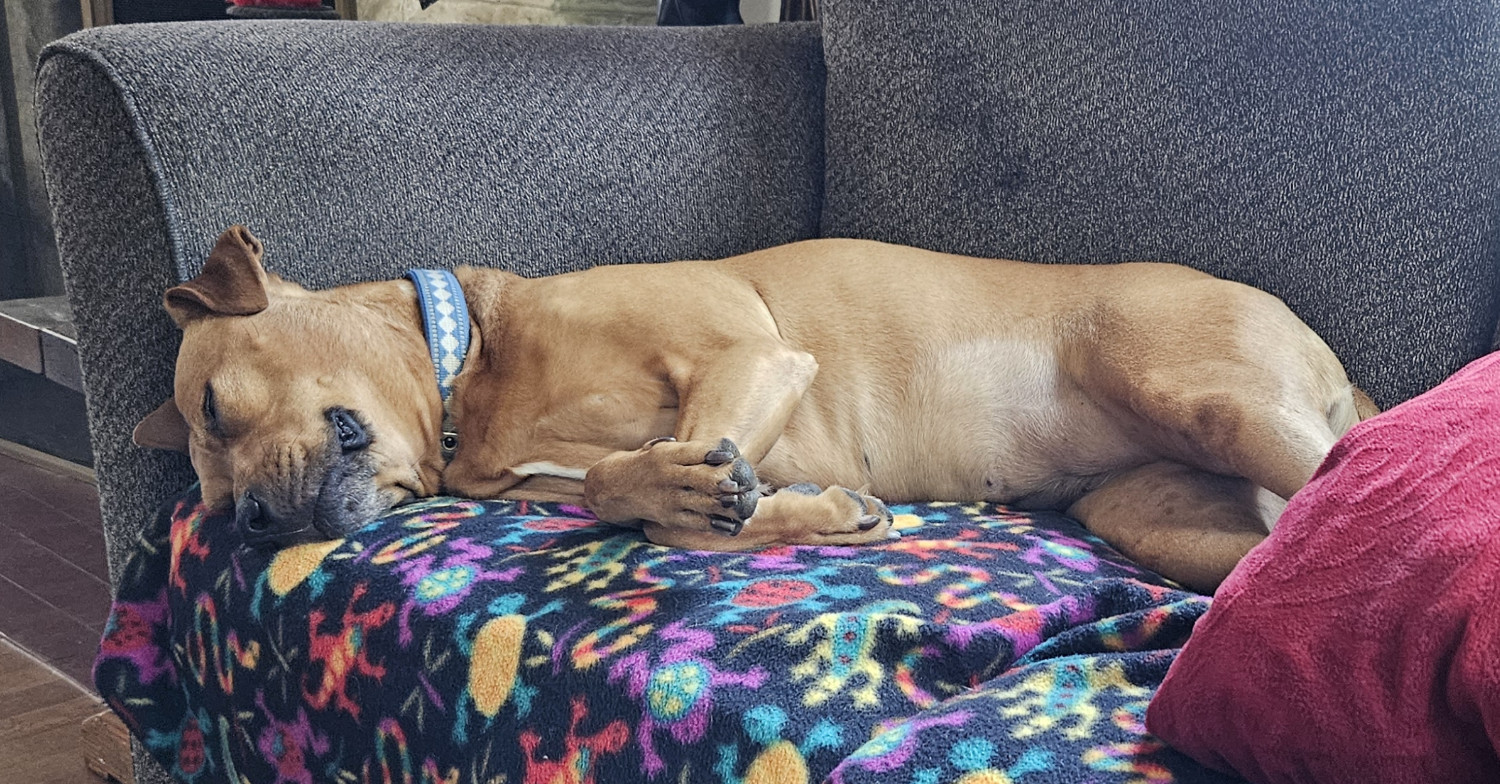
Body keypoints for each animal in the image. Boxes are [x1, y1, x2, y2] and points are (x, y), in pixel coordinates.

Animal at [135, 224, 1374, 587]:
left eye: (214, 406)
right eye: (209, 481)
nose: (249, 522)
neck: (470, 380)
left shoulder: (754, 356)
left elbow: (637, 469)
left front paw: (692, 484)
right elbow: (641, 497)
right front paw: (808, 514)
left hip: (1204, 396)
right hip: (1161, 519)